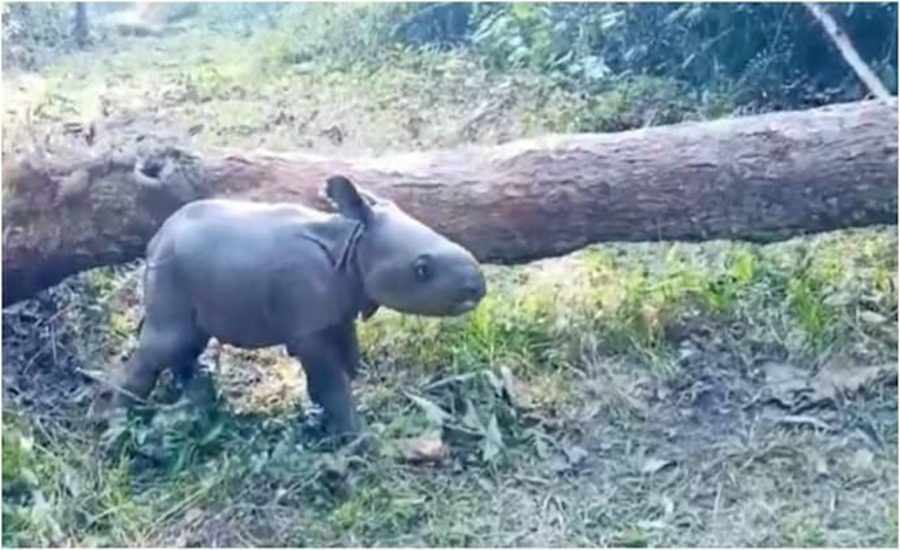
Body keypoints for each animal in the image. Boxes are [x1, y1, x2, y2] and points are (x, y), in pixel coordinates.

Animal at [110, 175, 486, 441]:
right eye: (421, 270)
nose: (479, 287)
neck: (353, 244)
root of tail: (157, 238)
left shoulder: (336, 315)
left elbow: (346, 365)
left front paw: (329, 422)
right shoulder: (309, 328)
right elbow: (332, 383)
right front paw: (360, 441)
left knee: (188, 338)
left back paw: (196, 392)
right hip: (172, 271)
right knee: (166, 341)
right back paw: (115, 425)